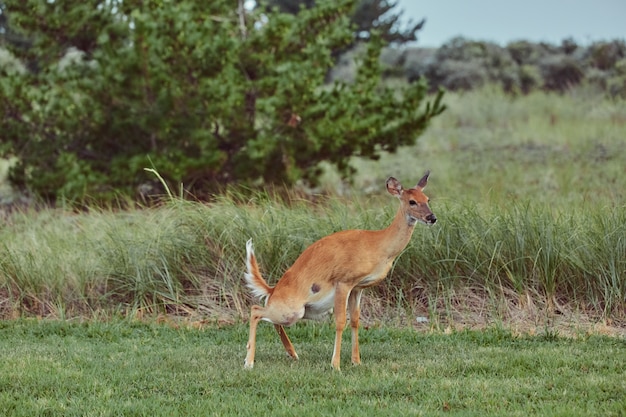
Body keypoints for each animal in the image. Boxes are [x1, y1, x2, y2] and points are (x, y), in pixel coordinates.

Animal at [243, 172, 434, 370]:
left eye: (427, 199)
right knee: (256, 310)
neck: (378, 247)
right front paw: (335, 365)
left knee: (267, 316)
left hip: (300, 312)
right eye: (412, 201)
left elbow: (355, 321)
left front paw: (356, 361)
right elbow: (341, 321)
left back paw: (293, 353)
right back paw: (249, 362)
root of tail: (272, 290)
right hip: (292, 310)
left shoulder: (357, 287)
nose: (432, 217)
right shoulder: (344, 281)